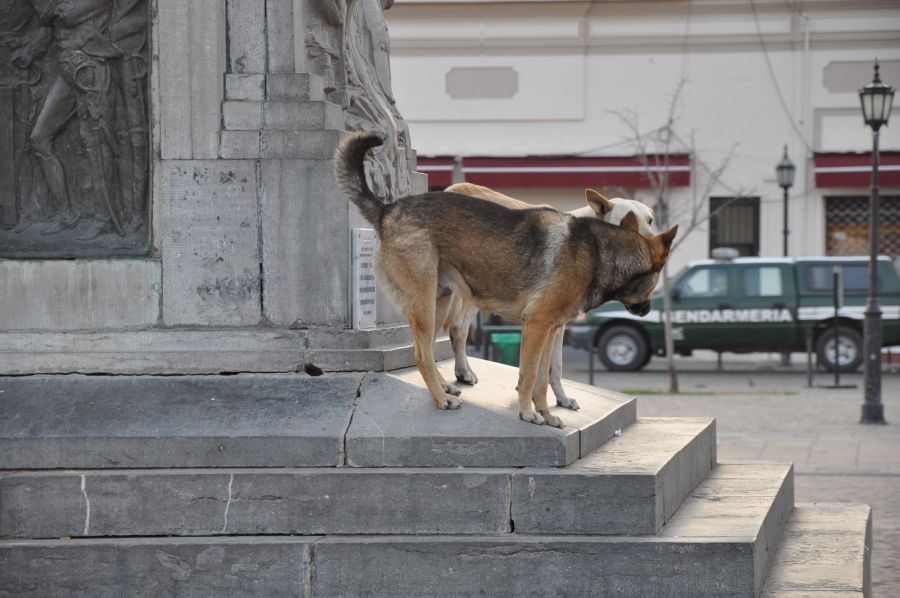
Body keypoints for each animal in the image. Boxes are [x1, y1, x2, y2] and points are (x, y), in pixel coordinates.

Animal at [336, 134, 676, 428]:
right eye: (631, 220)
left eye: (650, 219)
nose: (648, 311)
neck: (599, 247)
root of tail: (388, 209)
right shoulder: (538, 325)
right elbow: (530, 375)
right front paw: (528, 413)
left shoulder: (551, 328)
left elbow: (546, 376)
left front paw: (550, 410)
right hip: (429, 304)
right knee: (426, 352)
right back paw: (442, 397)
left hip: (440, 300)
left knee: (431, 349)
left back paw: (446, 386)